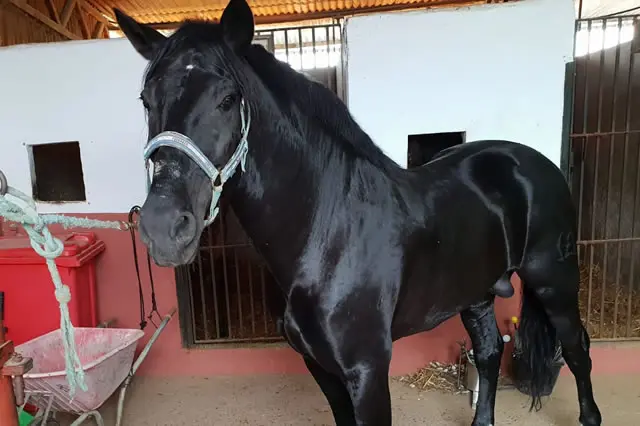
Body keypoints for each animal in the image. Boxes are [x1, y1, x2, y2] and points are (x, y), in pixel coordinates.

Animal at [114, 1, 602, 424]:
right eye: (145, 100)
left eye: (228, 99)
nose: (163, 228)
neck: (326, 235)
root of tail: (531, 161)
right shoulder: (320, 366)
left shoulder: (367, 371)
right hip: (477, 292)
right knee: (488, 354)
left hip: (554, 281)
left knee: (577, 349)